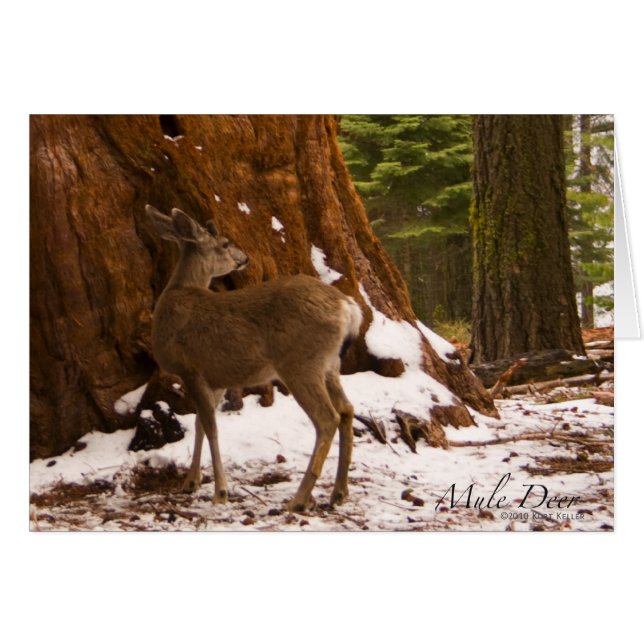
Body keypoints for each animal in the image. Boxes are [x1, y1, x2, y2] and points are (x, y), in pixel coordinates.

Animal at [145, 205, 363, 511]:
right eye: (226, 244)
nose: (244, 258)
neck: (178, 294)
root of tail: (348, 307)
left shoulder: (191, 368)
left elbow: (211, 427)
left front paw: (220, 491)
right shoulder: (215, 376)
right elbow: (201, 424)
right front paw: (191, 482)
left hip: (301, 363)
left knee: (326, 418)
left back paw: (299, 499)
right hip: (330, 364)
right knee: (346, 410)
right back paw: (339, 492)